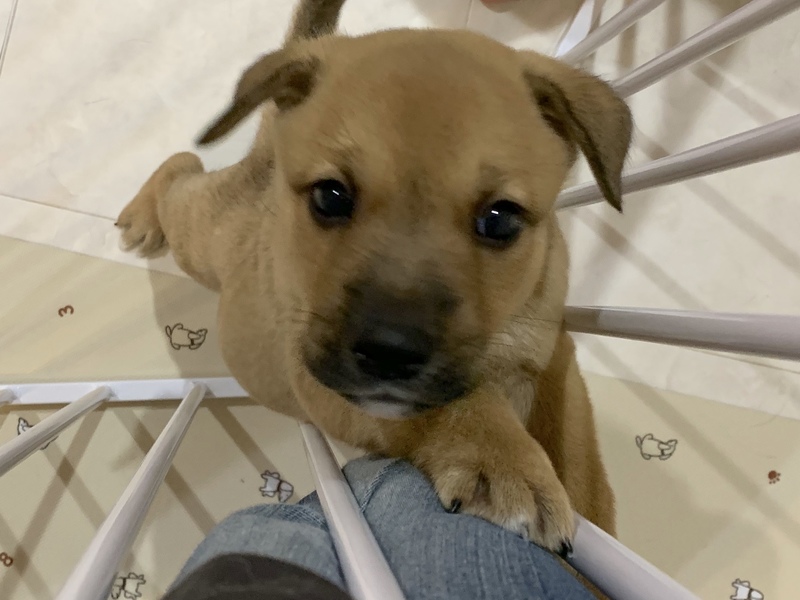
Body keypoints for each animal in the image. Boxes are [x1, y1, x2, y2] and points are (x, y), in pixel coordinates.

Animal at [117, 0, 632, 558]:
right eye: (330, 196)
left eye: (500, 220)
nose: (389, 351)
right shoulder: (332, 388)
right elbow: (453, 405)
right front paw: (504, 460)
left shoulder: (557, 351)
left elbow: (578, 452)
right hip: (200, 238)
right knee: (181, 168)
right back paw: (142, 215)